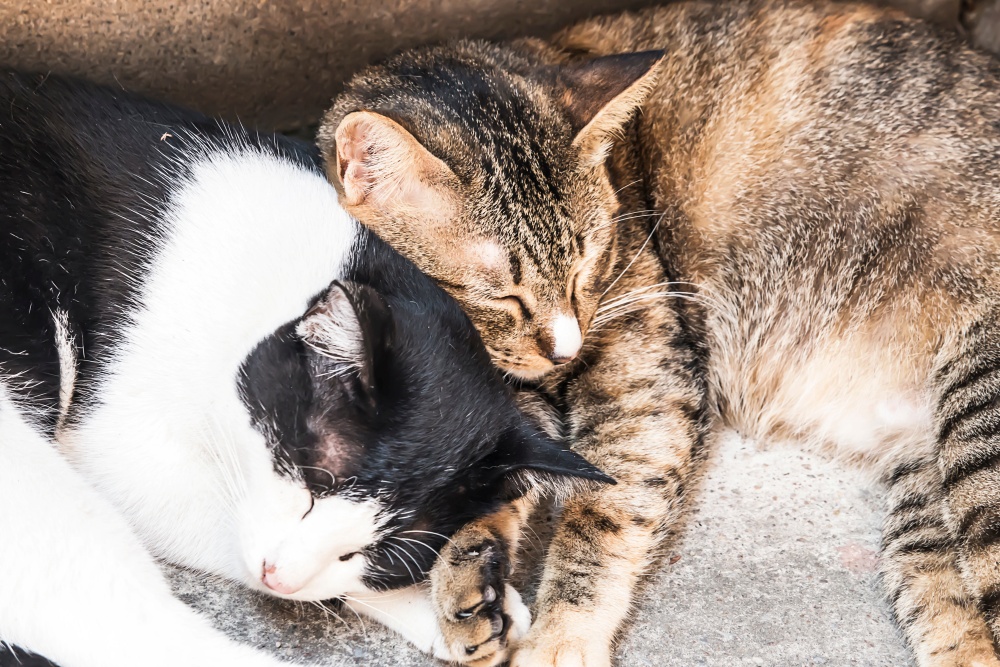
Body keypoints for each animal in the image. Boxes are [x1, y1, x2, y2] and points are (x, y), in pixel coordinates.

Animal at [320, 2, 1000, 664]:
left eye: (589, 263)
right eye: (502, 293)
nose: (566, 347)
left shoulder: (645, 385)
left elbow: (601, 522)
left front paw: (561, 638)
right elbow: (491, 476)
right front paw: (469, 579)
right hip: (925, 493)